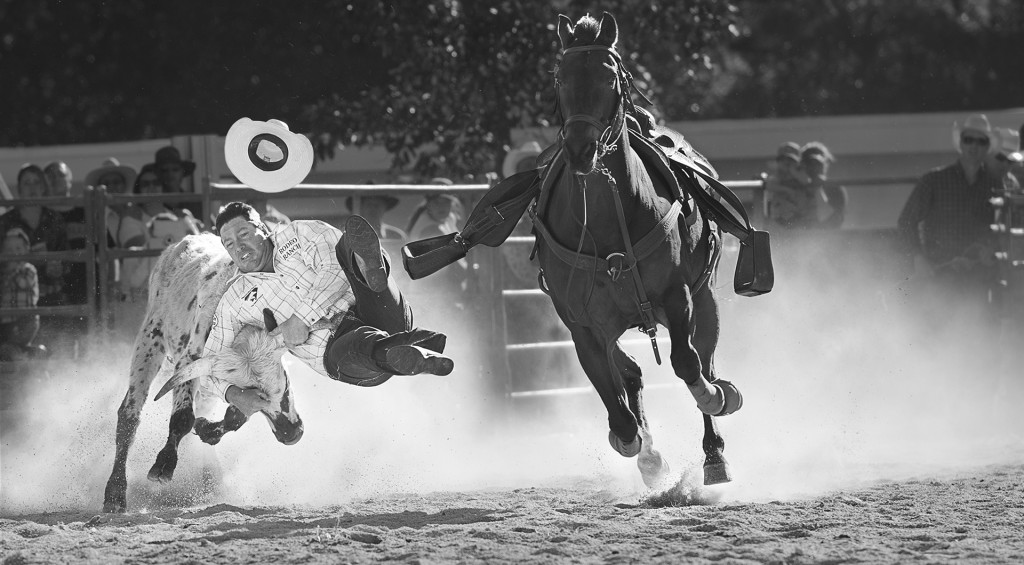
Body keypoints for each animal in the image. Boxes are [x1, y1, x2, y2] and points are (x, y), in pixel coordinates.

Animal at [536, 14, 745, 489]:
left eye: (609, 78)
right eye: (560, 77)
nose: (580, 149)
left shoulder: (677, 296)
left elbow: (688, 365)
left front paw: (715, 399)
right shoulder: (581, 325)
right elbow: (617, 406)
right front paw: (643, 451)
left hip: (705, 297)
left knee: (702, 359)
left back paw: (715, 451)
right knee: (630, 373)